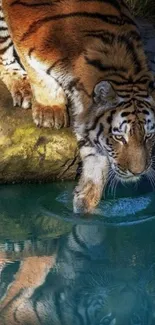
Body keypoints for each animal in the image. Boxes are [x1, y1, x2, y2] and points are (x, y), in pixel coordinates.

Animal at [0, 1, 155, 214]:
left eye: (149, 136)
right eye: (118, 137)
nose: (137, 172)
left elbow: (95, 161)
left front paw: (85, 204)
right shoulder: (22, 32)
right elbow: (36, 72)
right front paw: (50, 111)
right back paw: (22, 87)